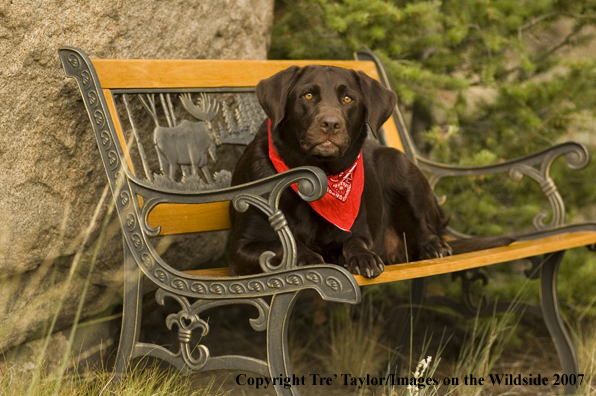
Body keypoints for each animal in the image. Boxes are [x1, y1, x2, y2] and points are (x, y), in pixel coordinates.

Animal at [228, 65, 512, 278]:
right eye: (307, 96)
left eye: (348, 98)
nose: (330, 124)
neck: (318, 178)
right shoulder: (241, 248)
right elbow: (286, 246)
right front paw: (310, 259)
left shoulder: (359, 230)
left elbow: (356, 242)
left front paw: (364, 258)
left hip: (398, 164)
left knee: (424, 225)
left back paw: (434, 246)